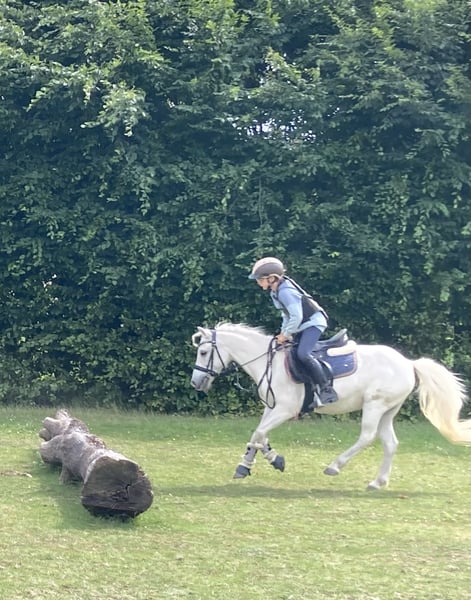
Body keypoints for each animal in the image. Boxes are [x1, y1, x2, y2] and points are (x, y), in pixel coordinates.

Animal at [190, 322, 471, 490]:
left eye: (203, 353)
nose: (196, 382)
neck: (269, 362)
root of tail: (409, 363)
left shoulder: (284, 410)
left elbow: (259, 434)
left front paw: (267, 461)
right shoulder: (272, 407)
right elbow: (258, 435)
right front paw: (252, 464)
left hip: (374, 405)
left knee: (367, 436)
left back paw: (335, 466)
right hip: (388, 410)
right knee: (390, 443)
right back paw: (378, 482)